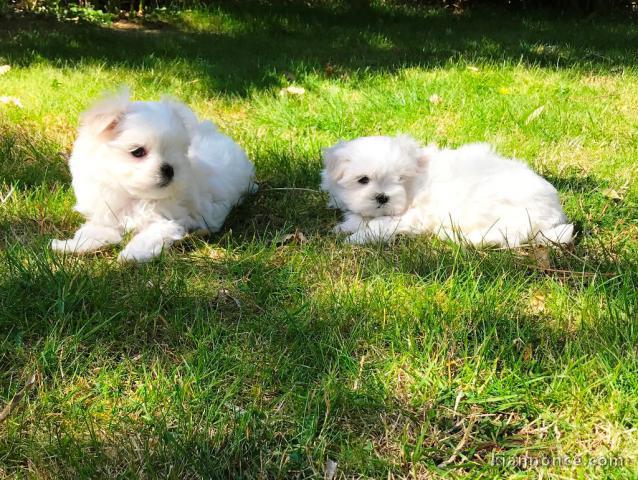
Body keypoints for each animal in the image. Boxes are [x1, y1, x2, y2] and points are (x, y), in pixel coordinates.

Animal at [53, 91, 258, 262]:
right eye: (137, 152)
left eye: (178, 150)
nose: (169, 169)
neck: (134, 197)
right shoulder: (108, 216)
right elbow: (93, 232)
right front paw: (69, 245)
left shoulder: (169, 221)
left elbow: (149, 236)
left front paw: (131, 255)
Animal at [322, 135, 576, 248]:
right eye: (363, 180)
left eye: (400, 179)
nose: (382, 197)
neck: (414, 186)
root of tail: (550, 217)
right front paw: (345, 226)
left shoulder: (414, 216)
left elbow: (379, 225)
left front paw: (355, 238)